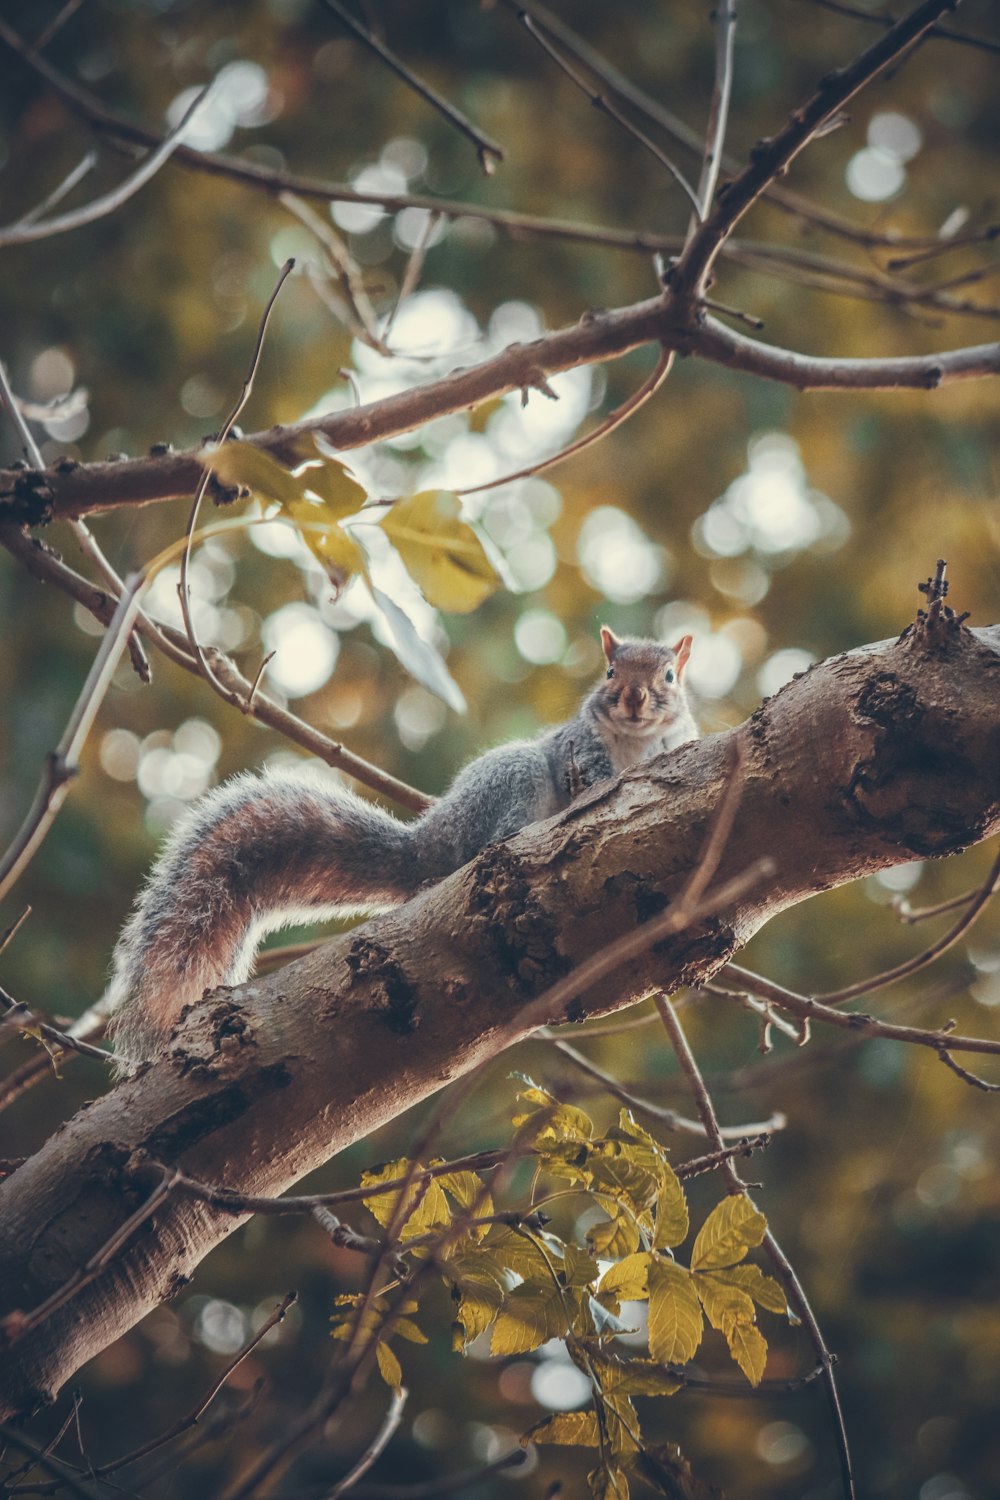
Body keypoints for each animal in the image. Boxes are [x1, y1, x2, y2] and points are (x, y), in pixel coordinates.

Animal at [99, 627, 695, 1074]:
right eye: (611, 672)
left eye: (669, 675)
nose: (635, 698)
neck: (634, 743)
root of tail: (431, 844)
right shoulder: (578, 747)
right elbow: (590, 772)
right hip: (513, 778)